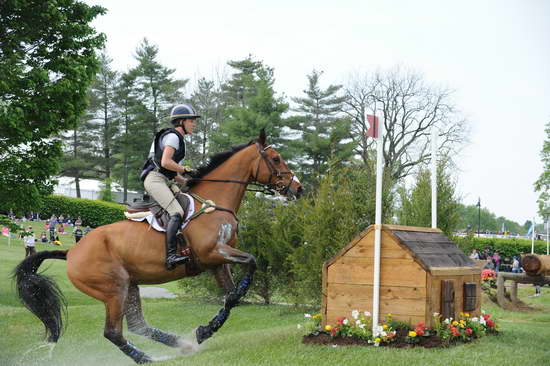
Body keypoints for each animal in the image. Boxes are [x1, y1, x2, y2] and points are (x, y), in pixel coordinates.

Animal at [12, 129, 304, 364]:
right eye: (275, 159)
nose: (298, 189)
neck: (214, 203)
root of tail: (72, 251)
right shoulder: (213, 253)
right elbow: (251, 263)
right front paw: (204, 331)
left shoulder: (217, 262)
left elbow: (233, 297)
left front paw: (205, 330)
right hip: (113, 290)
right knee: (113, 332)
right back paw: (147, 358)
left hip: (129, 285)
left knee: (137, 326)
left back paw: (180, 345)